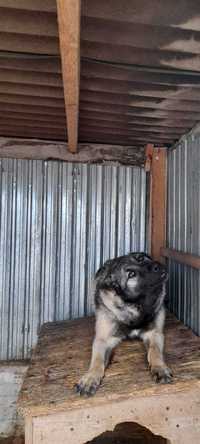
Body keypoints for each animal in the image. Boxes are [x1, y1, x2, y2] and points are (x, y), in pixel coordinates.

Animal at [76, 253, 173, 396]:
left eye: (141, 258)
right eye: (131, 274)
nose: (156, 265)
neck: (135, 305)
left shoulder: (155, 334)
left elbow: (154, 351)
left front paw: (159, 368)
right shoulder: (102, 340)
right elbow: (97, 360)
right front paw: (90, 378)